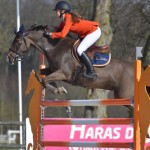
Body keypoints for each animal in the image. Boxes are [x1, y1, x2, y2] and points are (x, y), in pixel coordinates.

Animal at [6, 24, 134, 107]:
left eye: (17, 41)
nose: (9, 58)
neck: (55, 47)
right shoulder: (53, 70)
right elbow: (40, 76)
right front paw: (56, 88)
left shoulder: (64, 73)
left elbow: (45, 79)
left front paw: (58, 90)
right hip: (120, 97)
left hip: (125, 95)